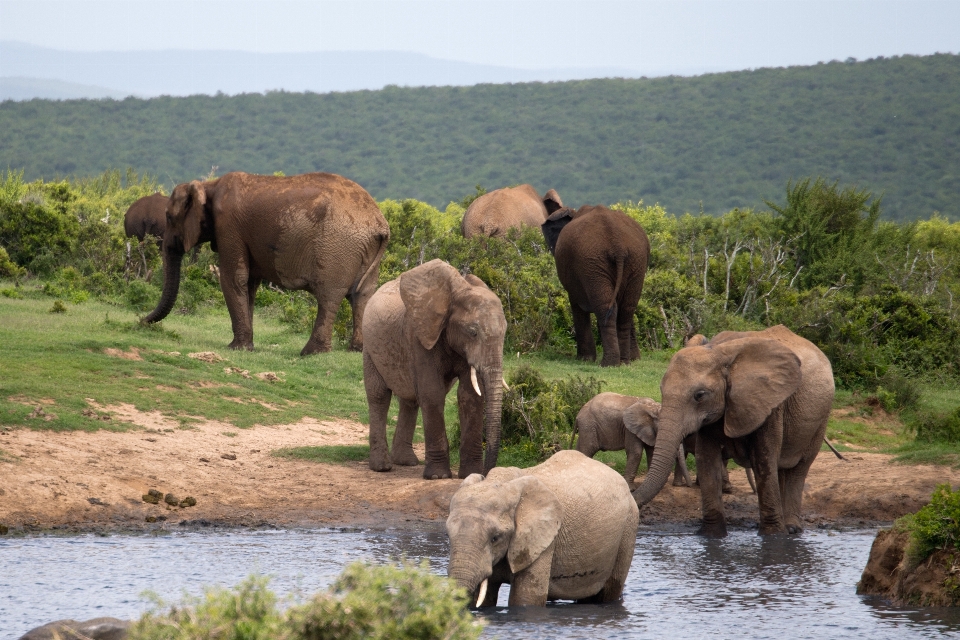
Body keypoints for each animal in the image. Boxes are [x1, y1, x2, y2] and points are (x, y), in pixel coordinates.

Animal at [142, 170, 390, 356]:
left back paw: (311, 353)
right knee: (362, 296)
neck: (208, 186)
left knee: (329, 297)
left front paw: (237, 349)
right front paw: (247, 346)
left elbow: (233, 278)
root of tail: (380, 223)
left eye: (169, 217)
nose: (140, 321)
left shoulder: (229, 227)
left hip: (337, 248)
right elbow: (250, 283)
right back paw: (356, 350)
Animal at [362, 260, 510, 480]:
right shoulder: (419, 335)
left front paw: (469, 474)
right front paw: (438, 476)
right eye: (473, 332)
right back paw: (382, 467)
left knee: (410, 400)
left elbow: (470, 396)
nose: (486, 474)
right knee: (379, 396)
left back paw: (406, 462)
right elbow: (432, 393)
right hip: (369, 348)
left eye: (505, 333)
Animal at [448, 448, 640, 608]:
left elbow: (525, 599)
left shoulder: (544, 540)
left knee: (608, 591)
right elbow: (487, 597)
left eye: (495, 538)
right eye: (449, 536)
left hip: (629, 526)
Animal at [544, 205, 648, 364]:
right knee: (627, 309)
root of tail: (617, 245)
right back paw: (624, 362)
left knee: (606, 308)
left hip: (592, 263)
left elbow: (577, 306)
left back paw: (609, 364)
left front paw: (584, 359)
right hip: (635, 262)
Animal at [632, 322, 832, 536]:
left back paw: (792, 528)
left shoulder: (769, 403)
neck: (719, 352)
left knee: (799, 469)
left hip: (821, 418)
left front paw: (773, 536)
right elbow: (706, 460)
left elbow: (764, 460)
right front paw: (711, 534)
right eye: (661, 390)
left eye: (699, 395)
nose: (632, 496)